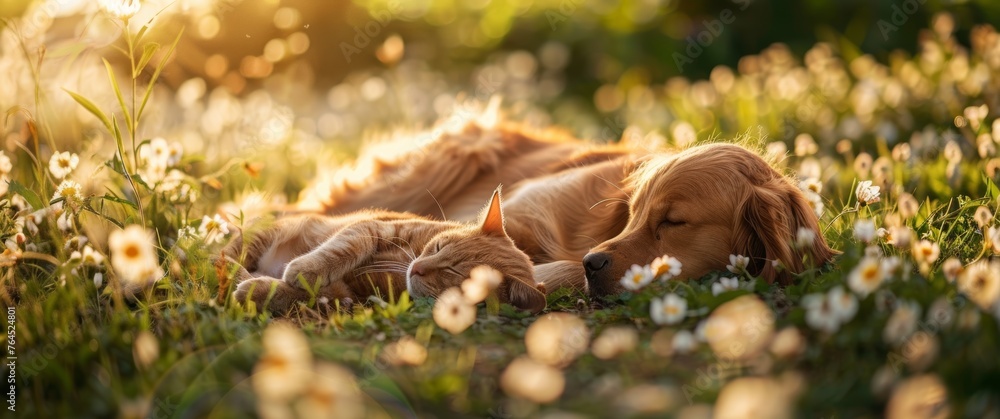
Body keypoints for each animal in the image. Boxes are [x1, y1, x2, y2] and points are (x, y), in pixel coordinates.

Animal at [224, 189, 548, 314]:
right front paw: (306, 268)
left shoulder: (348, 296)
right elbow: (344, 247)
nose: (417, 268)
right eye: (439, 246)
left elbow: (305, 293)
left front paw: (260, 290)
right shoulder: (374, 228)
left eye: (453, 274)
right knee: (221, 256)